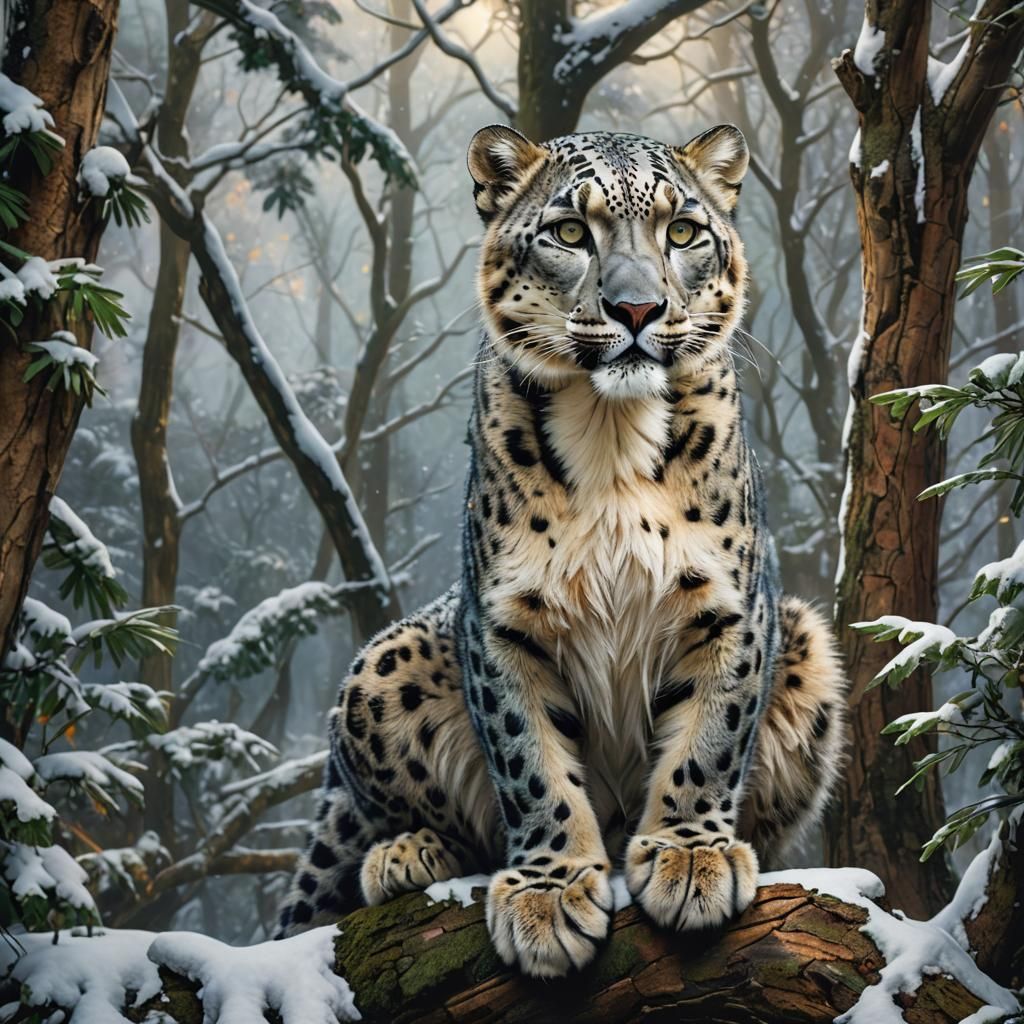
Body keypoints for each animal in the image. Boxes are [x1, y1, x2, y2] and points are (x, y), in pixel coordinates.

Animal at [276, 124, 847, 979]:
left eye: (684, 232)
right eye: (571, 233)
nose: (637, 307)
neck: (611, 438)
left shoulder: (727, 609)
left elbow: (710, 737)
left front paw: (689, 857)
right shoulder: (503, 621)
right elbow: (529, 761)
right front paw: (548, 894)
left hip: (810, 647)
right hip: (384, 665)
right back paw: (407, 855)